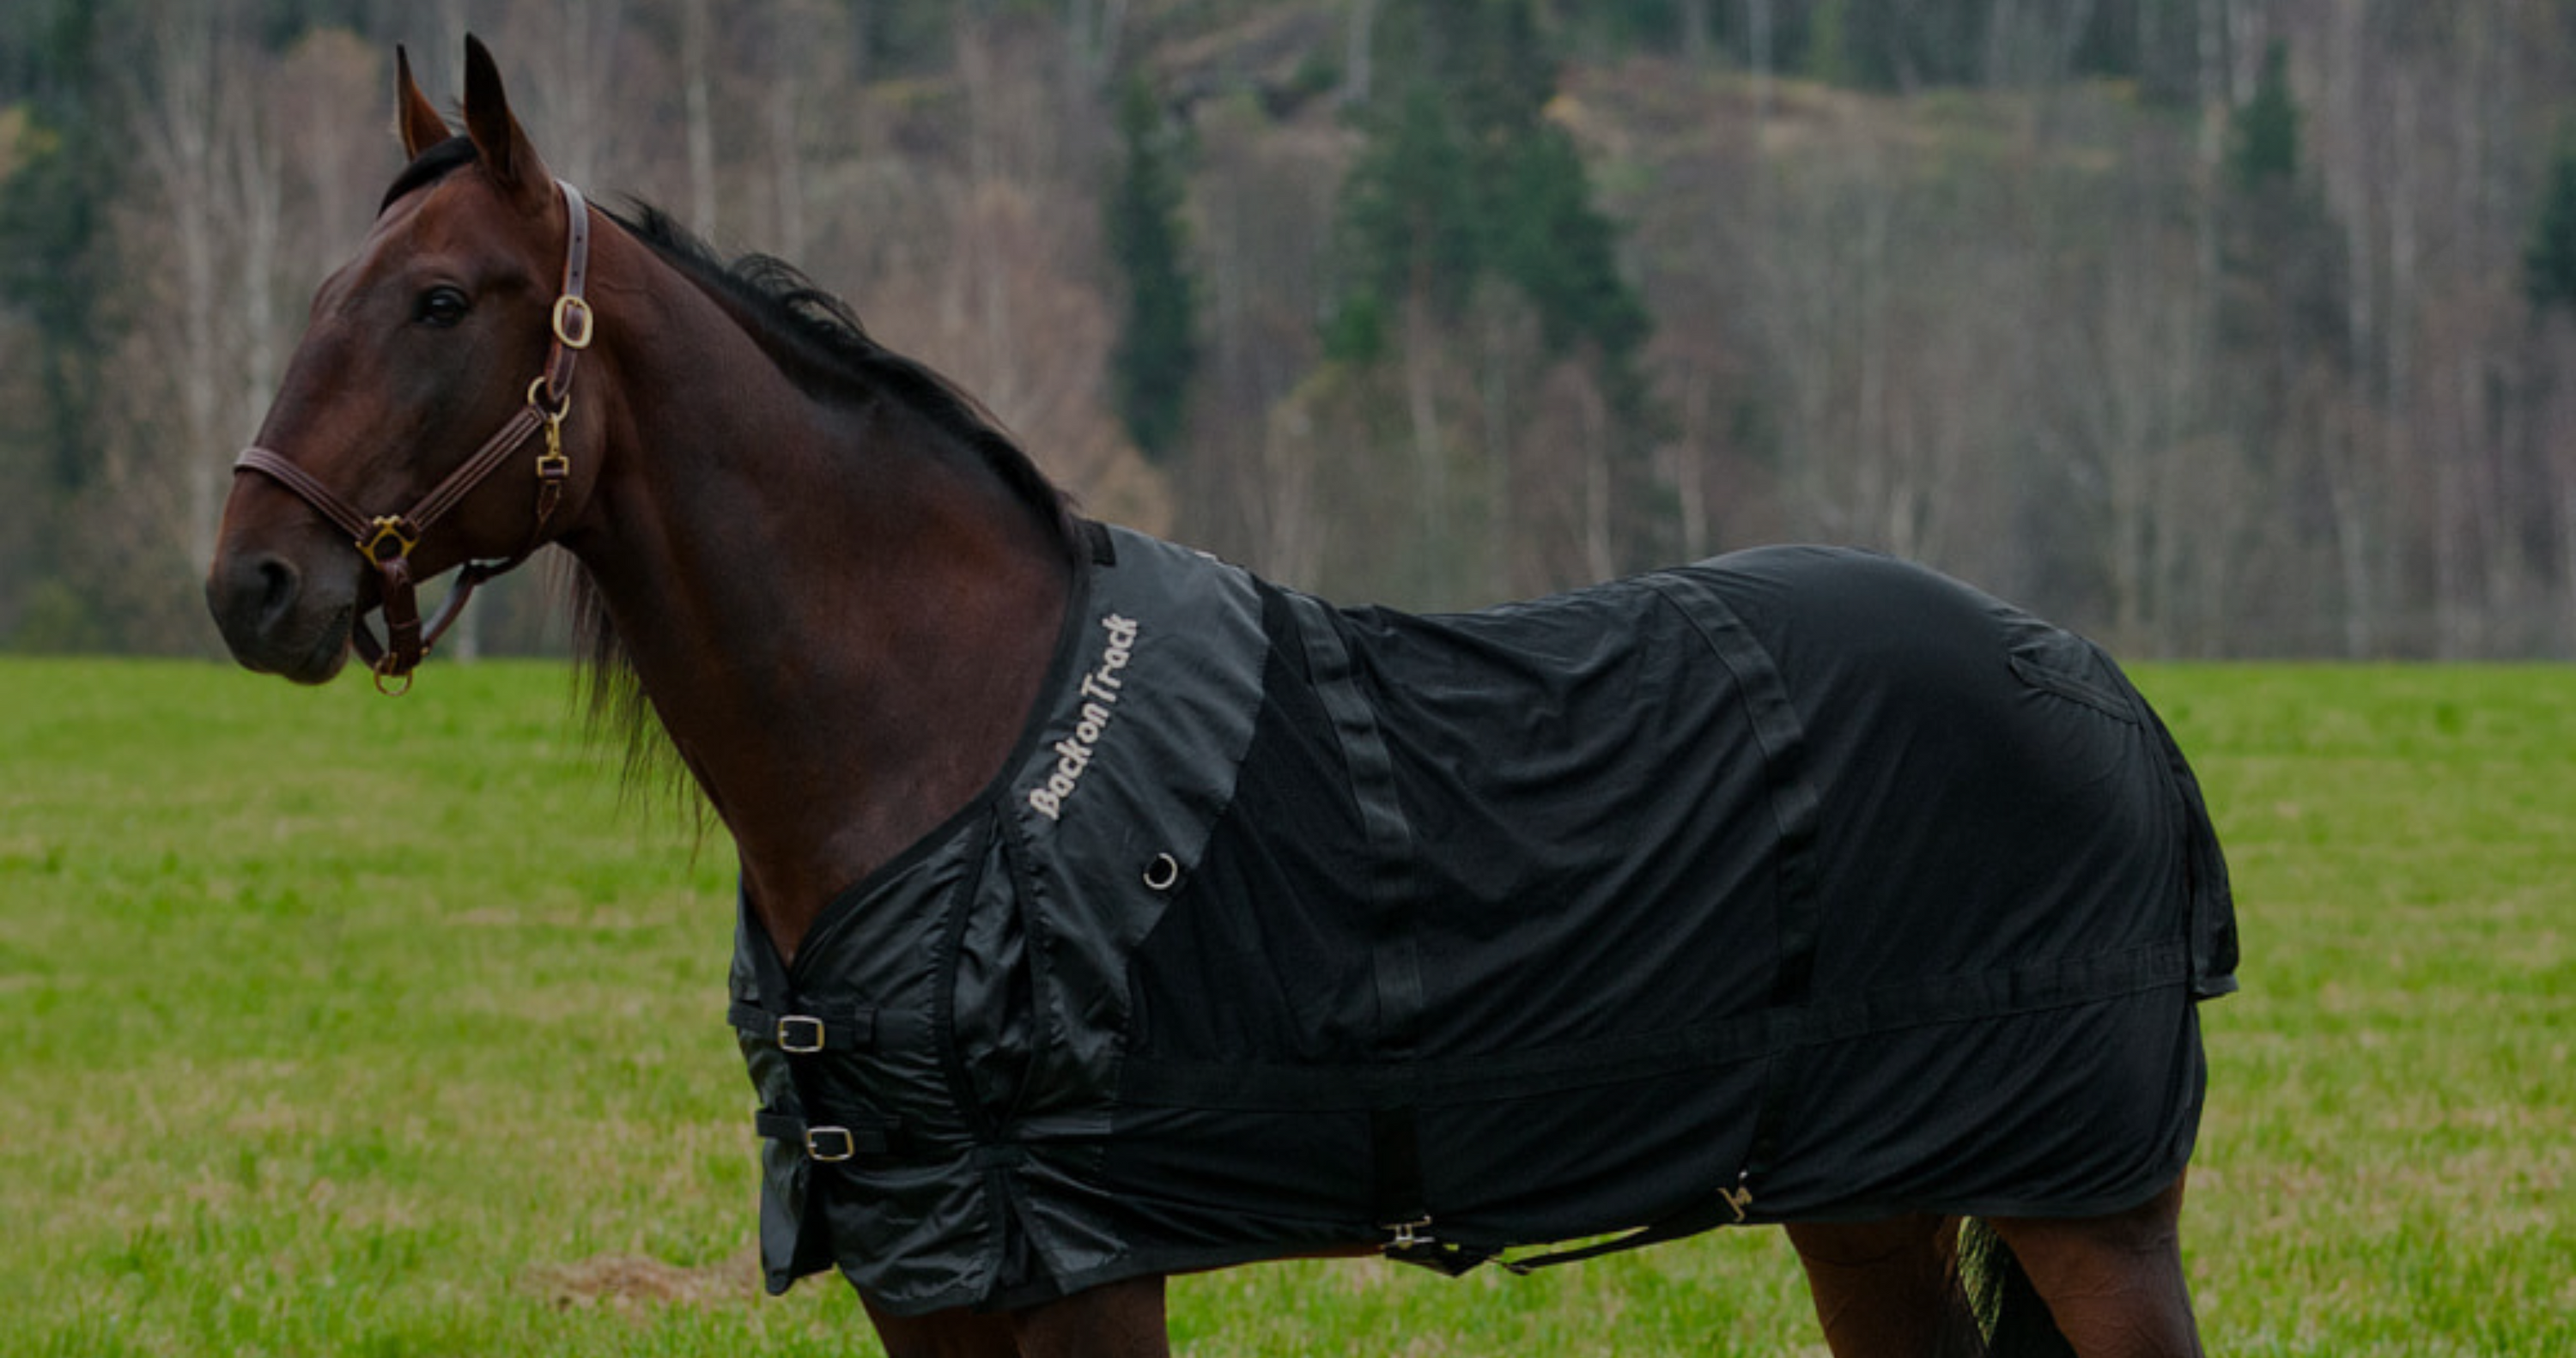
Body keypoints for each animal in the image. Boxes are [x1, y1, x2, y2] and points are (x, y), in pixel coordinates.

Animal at [206, 38, 2234, 1358]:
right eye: (318, 286)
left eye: (443, 300)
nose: (252, 583)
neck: (948, 743)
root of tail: (2096, 687)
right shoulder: (928, 1272)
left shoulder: (1082, 1262)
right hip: (1872, 1199)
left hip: (2087, 1208)